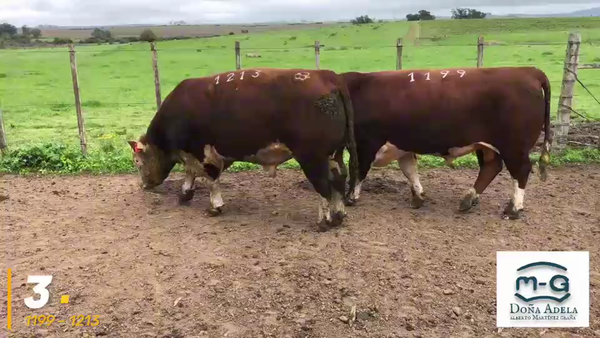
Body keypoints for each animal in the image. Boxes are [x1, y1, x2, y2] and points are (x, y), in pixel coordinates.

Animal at [127, 67, 356, 231]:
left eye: (137, 162)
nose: (143, 185)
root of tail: (326, 75)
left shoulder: (205, 154)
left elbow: (210, 179)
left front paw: (214, 206)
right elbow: (191, 173)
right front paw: (185, 193)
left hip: (312, 157)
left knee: (324, 185)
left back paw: (324, 221)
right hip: (334, 154)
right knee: (339, 178)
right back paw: (338, 215)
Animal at [342, 66, 552, 220]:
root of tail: (528, 70)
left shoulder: (364, 144)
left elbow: (358, 170)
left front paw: (350, 197)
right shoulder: (403, 145)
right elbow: (409, 170)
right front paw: (418, 197)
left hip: (513, 147)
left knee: (521, 171)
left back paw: (513, 209)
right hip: (487, 146)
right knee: (491, 167)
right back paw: (468, 199)